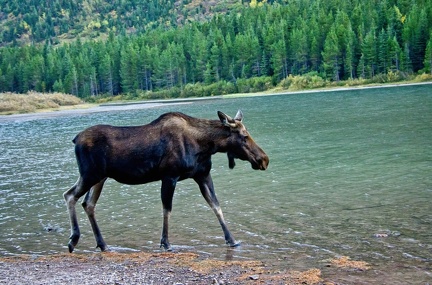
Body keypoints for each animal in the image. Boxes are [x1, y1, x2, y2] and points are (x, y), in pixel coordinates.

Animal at [64, 110, 268, 252]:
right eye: (244, 136)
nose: (264, 159)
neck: (206, 145)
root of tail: (75, 139)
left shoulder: (202, 175)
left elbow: (216, 207)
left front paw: (232, 240)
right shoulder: (169, 176)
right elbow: (167, 209)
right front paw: (166, 243)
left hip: (100, 178)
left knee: (88, 203)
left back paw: (103, 244)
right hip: (90, 174)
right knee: (70, 195)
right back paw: (74, 239)